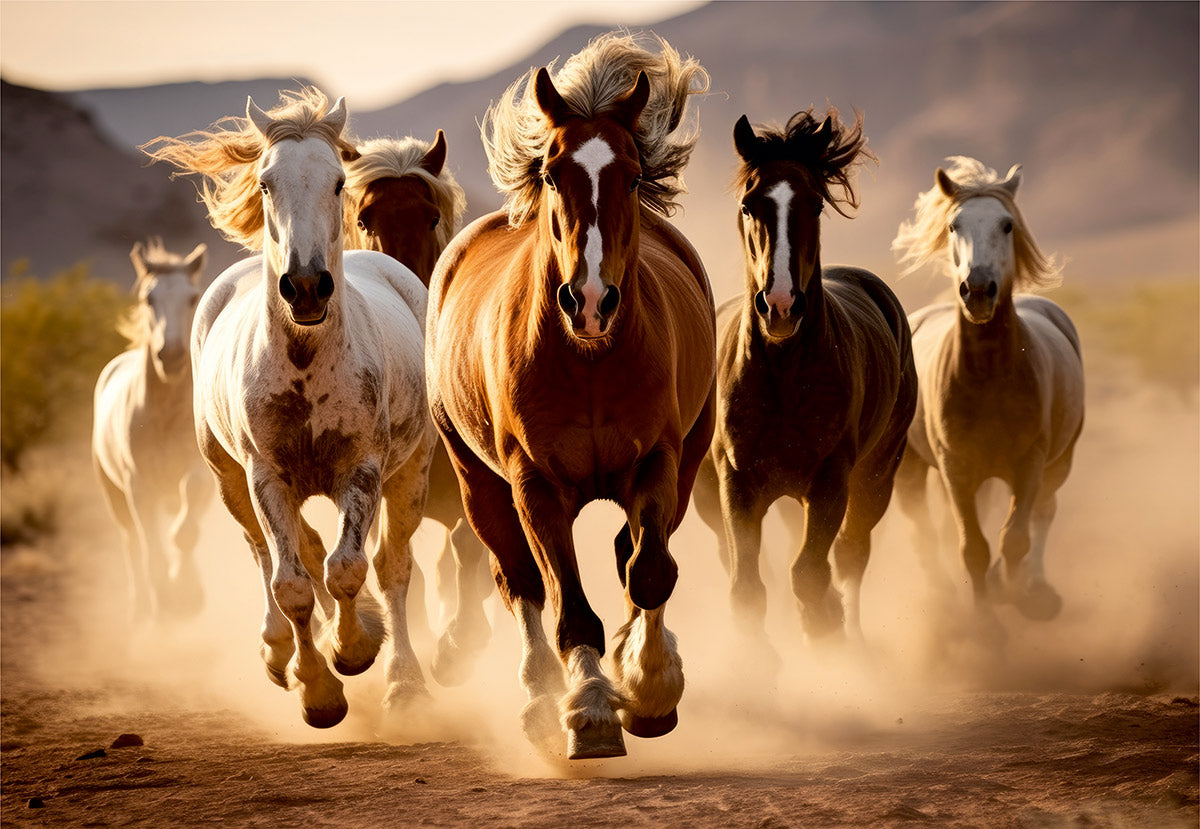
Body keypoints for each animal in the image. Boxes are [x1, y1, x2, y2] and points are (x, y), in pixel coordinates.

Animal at [92, 238, 211, 624]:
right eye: (149, 299)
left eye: (192, 297)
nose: (170, 356)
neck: (165, 418)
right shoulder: (138, 487)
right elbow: (152, 551)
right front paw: (167, 606)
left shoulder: (200, 474)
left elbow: (184, 532)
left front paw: (187, 594)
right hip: (114, 494)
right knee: (131, 545)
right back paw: (141, 609)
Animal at [142, 88, 436, 728]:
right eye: (266, 182)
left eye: (338, 182)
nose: (305, 286)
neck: (305, 366)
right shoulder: (266, 477)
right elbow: (293, 583)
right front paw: (318, 689)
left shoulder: (363, 471)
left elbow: (348, 568)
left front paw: (353, 650)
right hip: (230, 481)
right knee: (269, 553)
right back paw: (279, 650)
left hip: (412, 473)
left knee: (392, 566)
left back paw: (403, 679)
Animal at [426, 32, 715, 759]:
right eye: (554, 174)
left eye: (633, 176)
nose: (589, 301)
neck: (588, 363)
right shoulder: (535, 484)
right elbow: (567, 604)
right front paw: (589, 709)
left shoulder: (658, 461)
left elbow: (649, 570)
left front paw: (649, 687)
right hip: (479, 482)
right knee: (520, 582)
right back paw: (538, 702)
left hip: (689, 458)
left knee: (634, 556)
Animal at [691, 108, 918, 652]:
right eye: (749, 204)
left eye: (814, 205)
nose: (780, 306)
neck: (782, 376)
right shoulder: (737, 483)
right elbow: (747, 583)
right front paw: (759, 660)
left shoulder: (831, 481)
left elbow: (811, 573)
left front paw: (826, 634)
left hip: (876, 475)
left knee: (852, 553)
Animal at [891, 157, 1084, 621]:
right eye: (954, 225)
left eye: (1007, 224)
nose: (977, 290)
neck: (989, 376)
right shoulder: (956, 469)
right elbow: (972, 548)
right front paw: (984, 622)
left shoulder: (1030, 465)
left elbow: (1014, 539)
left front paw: (1016, 595)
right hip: (913, 469)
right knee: (923, 526)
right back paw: (942, 596)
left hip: (1059, 462)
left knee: (1043, 514)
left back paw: (1036, 587)